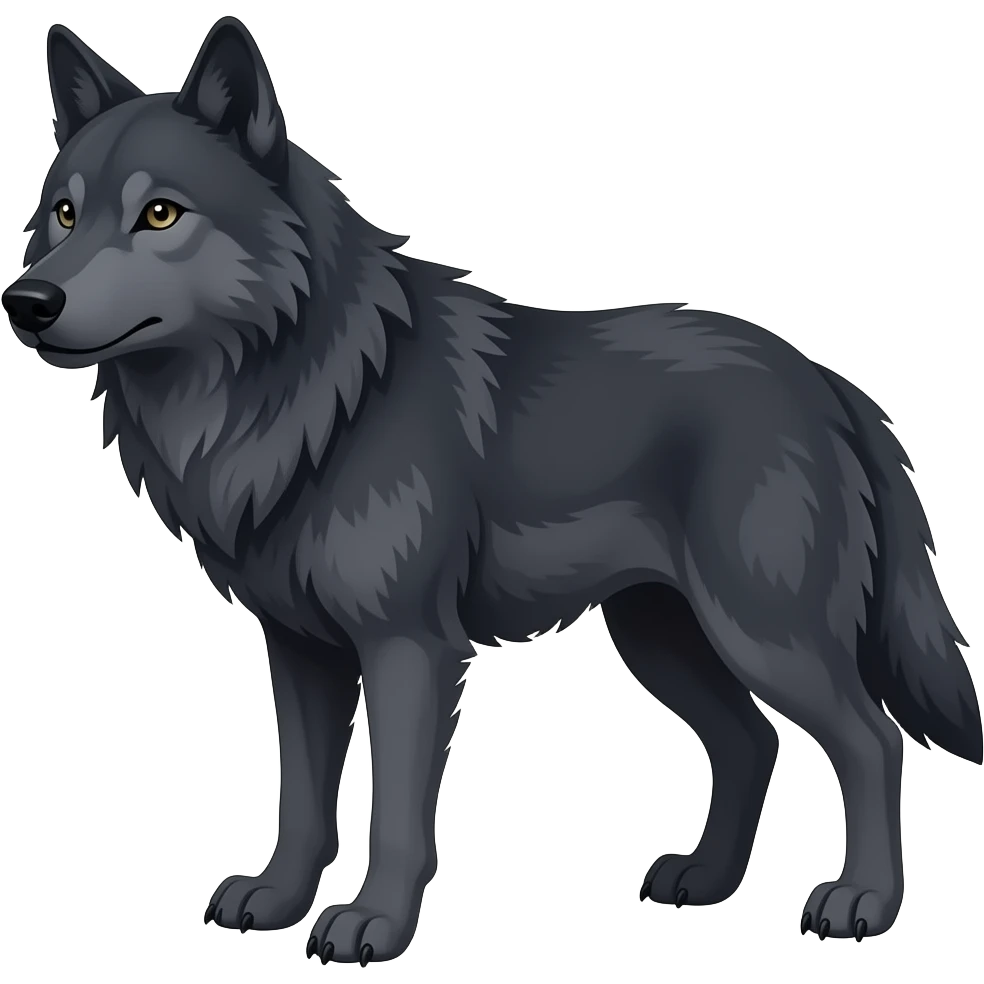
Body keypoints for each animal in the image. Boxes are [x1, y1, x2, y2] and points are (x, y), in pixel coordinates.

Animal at [4, 15, 980, 964]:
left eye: (159, 213)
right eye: (62, 214)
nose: (27, 301)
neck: (314, 392)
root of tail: (831, 384)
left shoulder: (410, 647)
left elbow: (396, 812)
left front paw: (375, 924)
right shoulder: (301, 652)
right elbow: (303, 801)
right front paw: (278, 900)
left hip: (764, 635)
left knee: (871, 740)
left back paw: (862, 902)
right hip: (662, 639)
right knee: (752, 741)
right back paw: (705, 880)